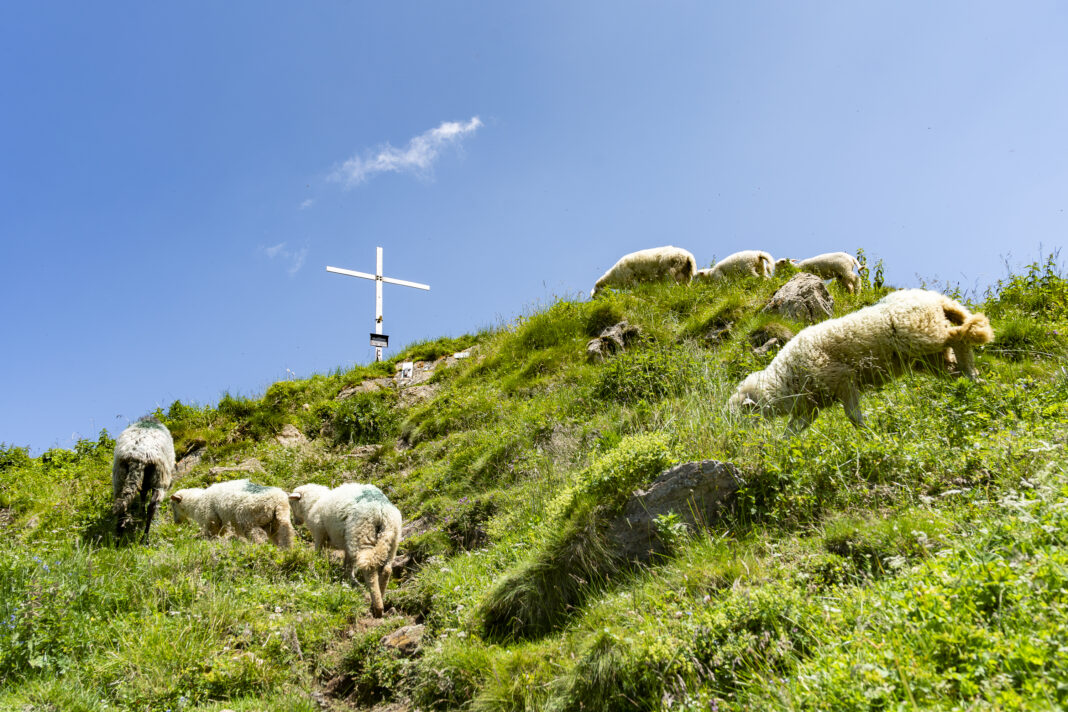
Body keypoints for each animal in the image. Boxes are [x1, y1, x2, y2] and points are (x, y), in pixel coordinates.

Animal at [112, 414, 175, 542]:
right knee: (152, 505)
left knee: (122, 507)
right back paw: (145, 538)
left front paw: (141, 512)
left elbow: (143, 494)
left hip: (119, 477)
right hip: (159, 478)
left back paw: (118, 539)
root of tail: (137, 455)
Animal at [288, 484, 401, 619]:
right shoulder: (347, 546)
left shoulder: (320, 534)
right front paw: (348, 579)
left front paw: (314, 565)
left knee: (370, 570)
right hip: (391, 540)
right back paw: (380, 598)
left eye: (291, 503)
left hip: (362, 535)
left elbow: (318, 553)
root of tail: (381, 511)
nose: (295, 522)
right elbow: (347, 565)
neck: (313, 503)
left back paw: (377, 607)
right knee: (386, 570)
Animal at [726, 288, 991, 431]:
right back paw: (973, 381)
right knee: (954, 363)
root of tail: (935, 299)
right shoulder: (811, 406)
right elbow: (792, 431)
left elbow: (853, 417)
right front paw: (782, 448)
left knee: (958, 337)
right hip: (930, 357)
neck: (784, 380)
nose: (736, 437)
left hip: (922, 334)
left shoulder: (843, 379)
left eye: (740, 416)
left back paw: (972, 375)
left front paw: (867, 435)